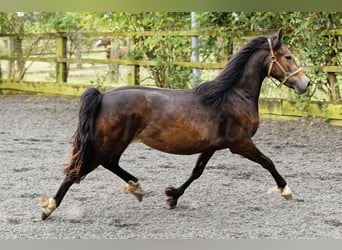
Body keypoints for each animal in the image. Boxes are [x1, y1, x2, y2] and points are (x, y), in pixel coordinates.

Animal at [40, 29, 310, 220]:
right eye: (288, 56)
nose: (305, 84)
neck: (231, 96)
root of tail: (103, 96)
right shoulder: (240, 143)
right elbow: (268, 162)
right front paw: (285, 190)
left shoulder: (212, 146)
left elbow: (196, 172)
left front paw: (173, 197)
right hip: (106, 143)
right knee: (76, 172)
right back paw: (49, 208)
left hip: (114, 143)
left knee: (110, 164)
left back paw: (136, 188)